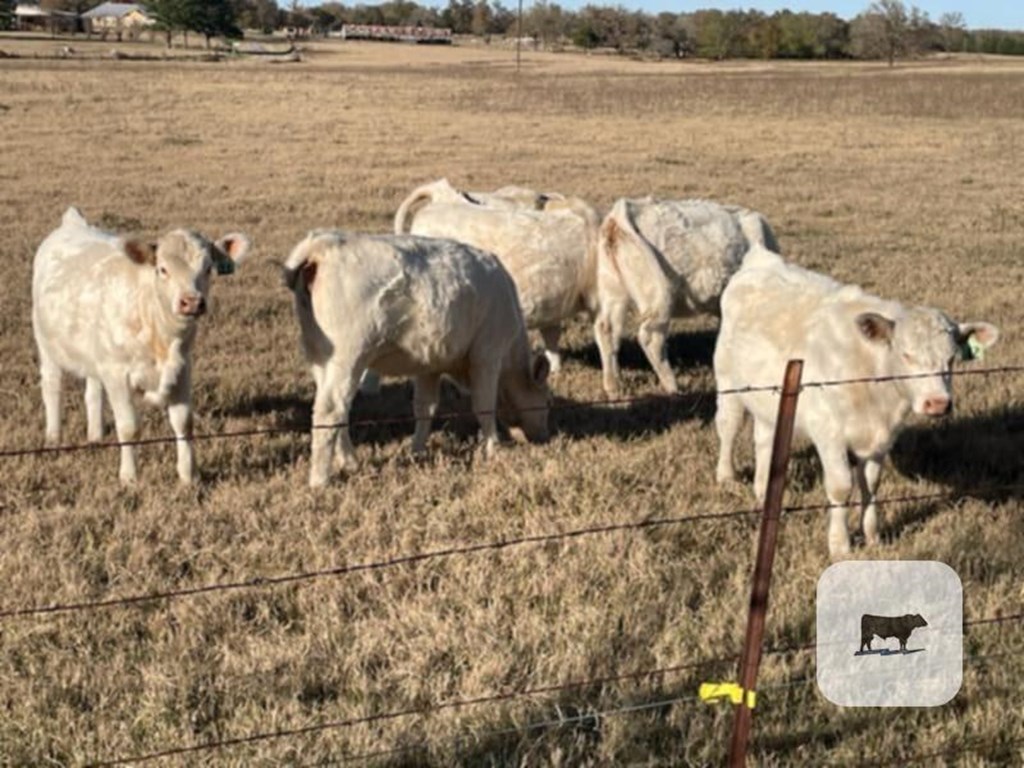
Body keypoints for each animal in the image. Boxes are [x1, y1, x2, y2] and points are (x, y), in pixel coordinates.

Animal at [32, 207, 249, 483]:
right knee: (52, 387)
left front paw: (188, 475)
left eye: (209, 268)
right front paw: (129, 477)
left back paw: (95, 434)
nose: (191, 302)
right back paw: (54, 437)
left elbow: (184, 423)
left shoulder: (183, 369)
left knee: (92, 392)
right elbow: (129, 427)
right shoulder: (116, 373)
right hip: (46, 343)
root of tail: (72, 223)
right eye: (162, 269)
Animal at [280, 228, 552, 487]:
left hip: (320, 356)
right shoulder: (487, 356)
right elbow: (484, 406)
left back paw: (350, 461)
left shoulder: (430, 365)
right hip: (348, 357)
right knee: (330, 410)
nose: (544, 437)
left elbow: (425, 408)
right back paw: (320, 479)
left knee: (338, 412)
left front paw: (417, 450)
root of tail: (322, 245)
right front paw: (493, 448)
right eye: (546, 403)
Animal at [712, 249, 999, 557]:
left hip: (769, 399)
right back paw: (726, 477)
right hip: (728, 382)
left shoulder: (881, 439)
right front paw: (840, 546)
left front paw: (873, 537)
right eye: (906, 354)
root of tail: (761, 258)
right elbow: (841, 486)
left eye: (952, 358)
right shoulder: (828, 432)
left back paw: (764, 490)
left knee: (764, 439)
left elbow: (871, 484)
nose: (937, 403)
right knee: (728, 427)